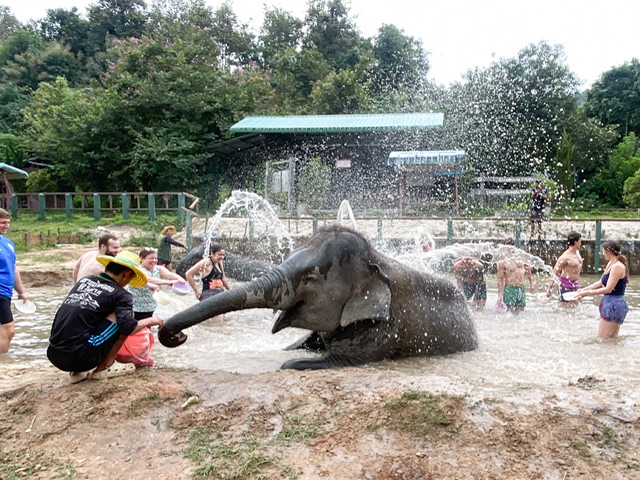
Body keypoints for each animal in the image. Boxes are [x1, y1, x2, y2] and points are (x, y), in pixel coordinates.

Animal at [159, 226, 478, 372]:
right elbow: (299, 344)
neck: (377, 260)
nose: (178, 337)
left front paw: (291, 364)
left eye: (310, 278)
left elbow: (335, 359)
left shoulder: (383, 327)